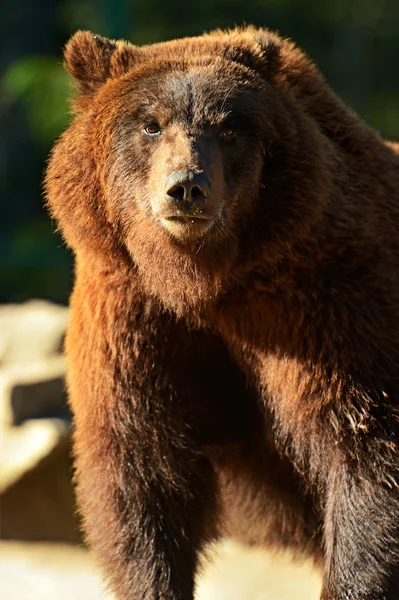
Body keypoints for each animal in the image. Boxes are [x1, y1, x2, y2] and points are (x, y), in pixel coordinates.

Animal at [45, 27, 398, 600]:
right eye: (150, 122)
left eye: (229, 126)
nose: (187, 187)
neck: (205, 283)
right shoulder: (135, 320)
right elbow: (143, 472)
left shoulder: (327, 303)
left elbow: (365, 448)